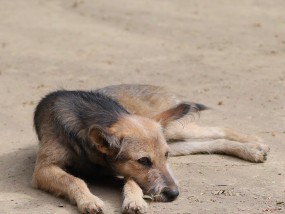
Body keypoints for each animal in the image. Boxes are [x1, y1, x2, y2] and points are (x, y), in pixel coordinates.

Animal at [32, 84, 268, 213]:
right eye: (144, 161)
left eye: (164, 156)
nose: (174, 194)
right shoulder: (43, 169)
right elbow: (74, 180)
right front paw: (89, 200)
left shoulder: (123, 170)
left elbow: (133, 183)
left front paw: (135, 201)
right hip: (175, 138)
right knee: (210, 142)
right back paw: (252, 149)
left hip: (174, 131)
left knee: (219, 129)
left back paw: (254, 143)